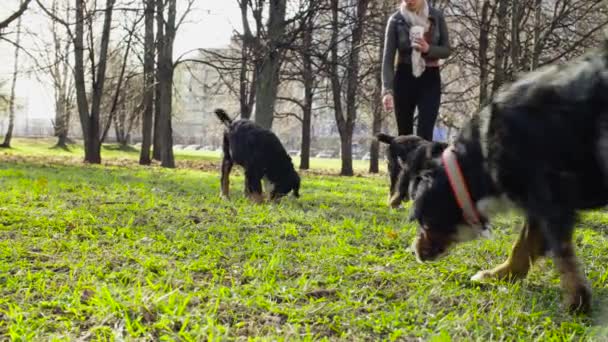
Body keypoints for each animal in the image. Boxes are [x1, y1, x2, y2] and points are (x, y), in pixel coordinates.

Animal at [404, 41, 608, 314]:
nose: (414, 252)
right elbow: (523, 247)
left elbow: (562, 255)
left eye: (424, 222)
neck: (481, 157)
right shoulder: (538, 204)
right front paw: (501, 275)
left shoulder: (549, 197)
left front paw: (577, 301)